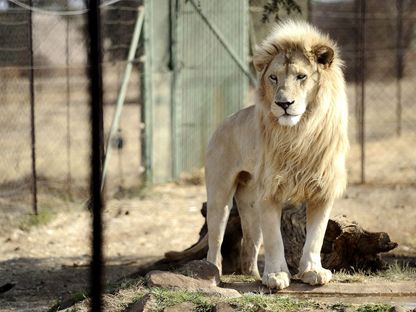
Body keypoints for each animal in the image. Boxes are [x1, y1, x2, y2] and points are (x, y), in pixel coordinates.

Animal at [205, 20, 348, 290]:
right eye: (273, 78)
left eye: (302, 77)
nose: (283, 103)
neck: (299, 134)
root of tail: (224, 122)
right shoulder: (269, 191)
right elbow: (274, 240)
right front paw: (276, 275)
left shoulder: (322, 189)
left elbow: (316, 236)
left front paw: (313, 271)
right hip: (220, 195)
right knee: (215, 242)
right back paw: (211, 273)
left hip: (250, 202)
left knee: (250, 245)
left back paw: (252, 274)